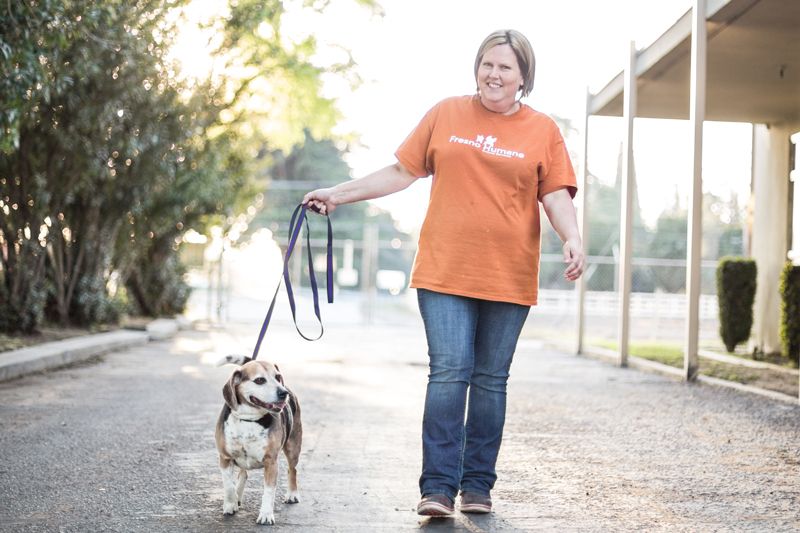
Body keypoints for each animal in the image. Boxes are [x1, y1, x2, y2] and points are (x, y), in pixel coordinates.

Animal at [214, 354, 302, 524]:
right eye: (260, 380)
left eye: (278, 377)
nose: (283, 393)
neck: (249, 419)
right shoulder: (225, 458)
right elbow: (228, 485)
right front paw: (230, 504)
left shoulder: (271, 462)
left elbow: (268, 492)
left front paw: (266, 515)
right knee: (243, 473)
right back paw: (238, 495)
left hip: (293, 446)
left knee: (292, 469)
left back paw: (292, 494)